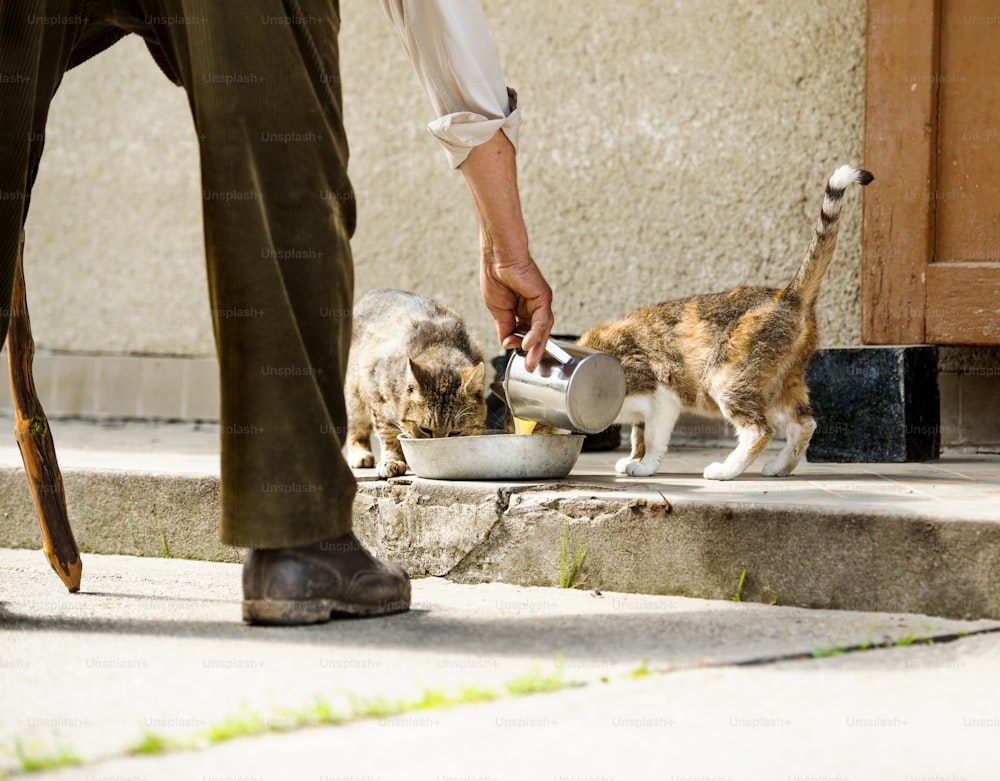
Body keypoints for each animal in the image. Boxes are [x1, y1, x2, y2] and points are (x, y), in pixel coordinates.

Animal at [346, 290, 486, 478]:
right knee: (355, 425)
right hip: (355, 394)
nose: (439, 453)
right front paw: (392, 460)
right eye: (425, 429)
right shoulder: (378, 396)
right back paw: (359, 452)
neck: (440, 344)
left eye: (455, 433)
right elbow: (388, 432)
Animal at [580, 165, 876, 478]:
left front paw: (645, 466)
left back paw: (724, 471)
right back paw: (779, 467)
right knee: (804, 424)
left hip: (725, 377)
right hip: (777, 385)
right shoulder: (643, 410)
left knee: (760, 431)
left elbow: (651, 438)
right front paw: (631, 459)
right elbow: (638, 435)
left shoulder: (662, 395)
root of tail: (788, 294)